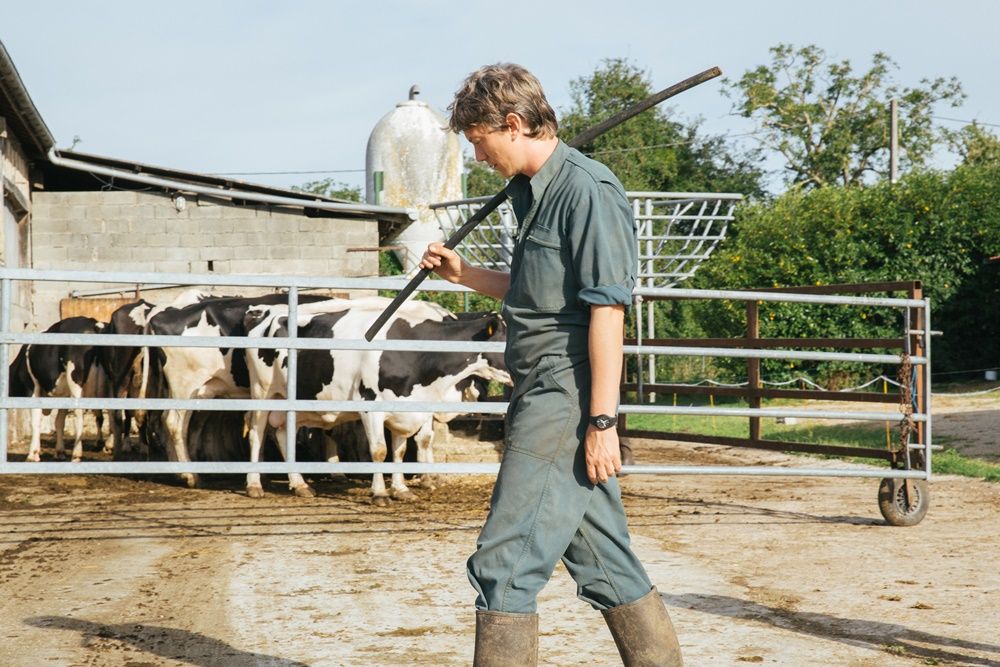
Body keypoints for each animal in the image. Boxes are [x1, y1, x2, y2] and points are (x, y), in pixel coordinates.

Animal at [8, 316, 113, 462]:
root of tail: (95, 324)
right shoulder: (64, 394)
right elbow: (59, 422)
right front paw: (59, 451)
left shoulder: (32, 388)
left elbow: (36, 421)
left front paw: (33, 454)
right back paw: (109, 446)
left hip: (75, 381)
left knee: (79, 414)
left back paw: (76, 453)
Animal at [242, 294, 508, 504]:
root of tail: (263, 315)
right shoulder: (371, 406)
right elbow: (380, 450)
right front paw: (380, 493)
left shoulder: (407, 409)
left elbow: (400, 451)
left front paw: (401, 490)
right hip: (262, 391)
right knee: (257, 433)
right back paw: (255, 484)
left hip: (295, 402)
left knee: (283, 434)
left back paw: (300, 484)